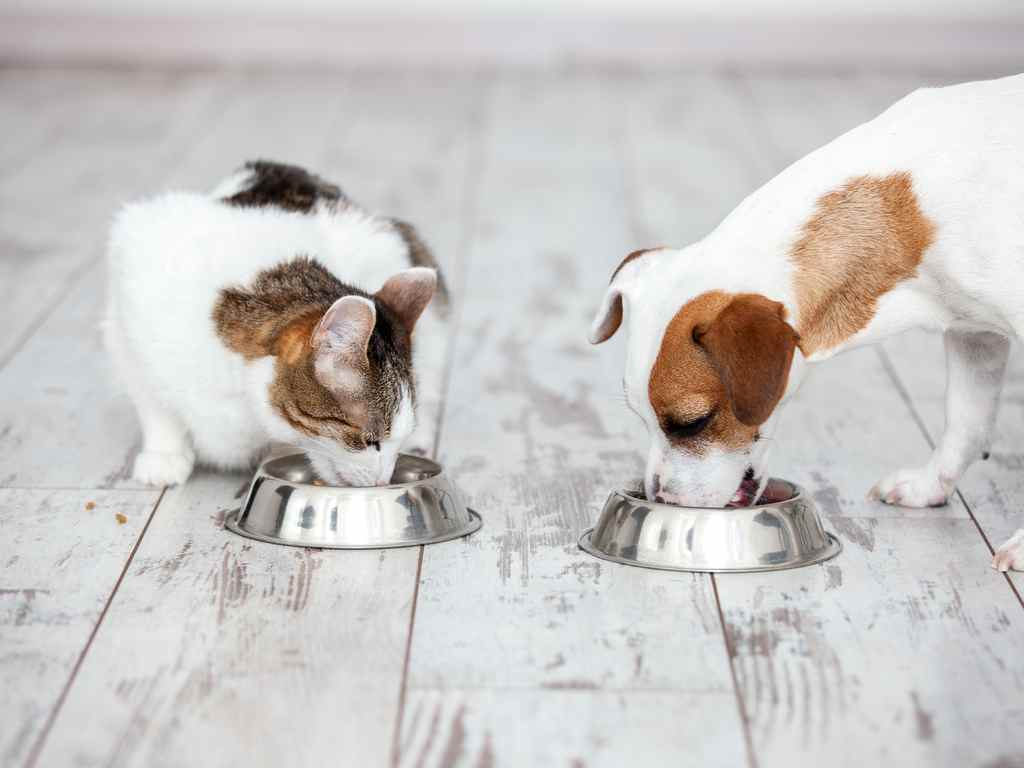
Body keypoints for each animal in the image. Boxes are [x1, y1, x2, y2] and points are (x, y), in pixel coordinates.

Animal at [102, 160, 448, 487]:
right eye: (370, 441)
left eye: (395, 441)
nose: (383, 481)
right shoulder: (126, 312)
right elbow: (153, 402)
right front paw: (164, 454)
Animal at [589, 75, 1024, 573]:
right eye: (639, 416)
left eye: (692, 423)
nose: (663, 501)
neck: (910, 210)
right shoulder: (974, 333)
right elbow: (966, 421)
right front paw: (930, 484)